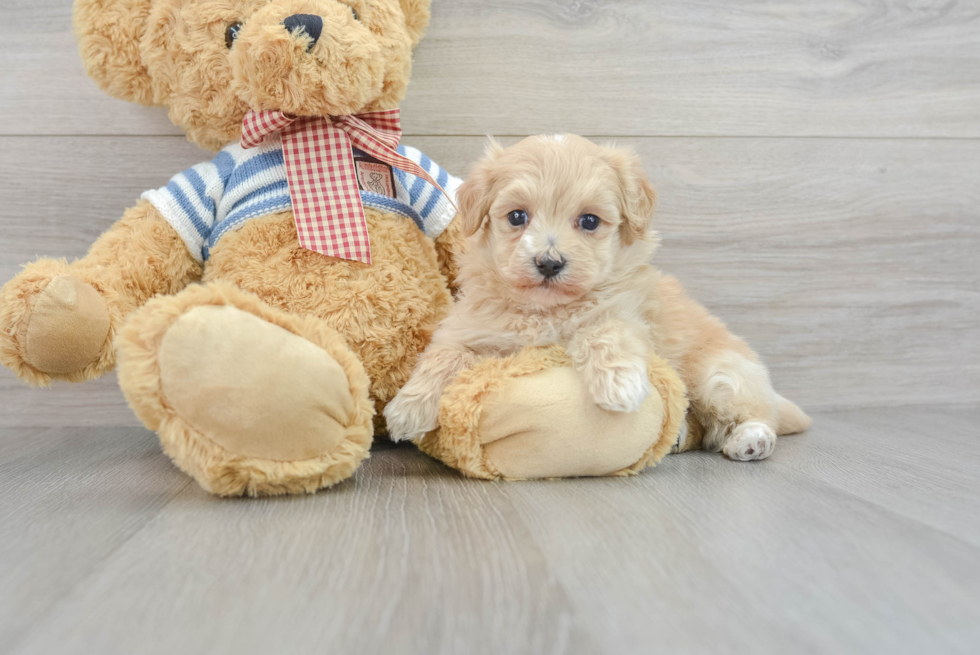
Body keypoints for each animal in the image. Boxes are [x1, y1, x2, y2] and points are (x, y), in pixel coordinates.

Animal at [384, 135, 812, 462]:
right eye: (517, 217)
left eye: (589, 221)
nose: (548, 262)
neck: (545, 310)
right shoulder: (470, 327)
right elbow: (444, 354)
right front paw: (408, 408)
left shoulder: (629, 314)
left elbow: (604, 331)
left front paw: (618, 387)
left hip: (720, 375)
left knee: (752, 414)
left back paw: (751, 440)